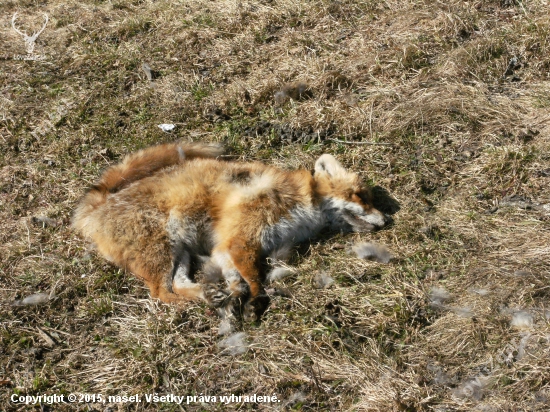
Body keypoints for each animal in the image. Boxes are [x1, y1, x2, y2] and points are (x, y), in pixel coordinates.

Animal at [73, 143, 390, 320]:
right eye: (361, 196)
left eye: (369, 198)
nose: (386, 219)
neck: (300, 201)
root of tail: (100, 203)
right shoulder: (241, 239)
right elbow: (255, 279)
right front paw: (255, 303)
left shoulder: (225, 247)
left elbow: (237, 280)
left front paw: (238, 297)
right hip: (162, 251)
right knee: (161, 293)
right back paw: (193, 305)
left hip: (181, 251)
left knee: (178, 284)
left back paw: (207, 295)